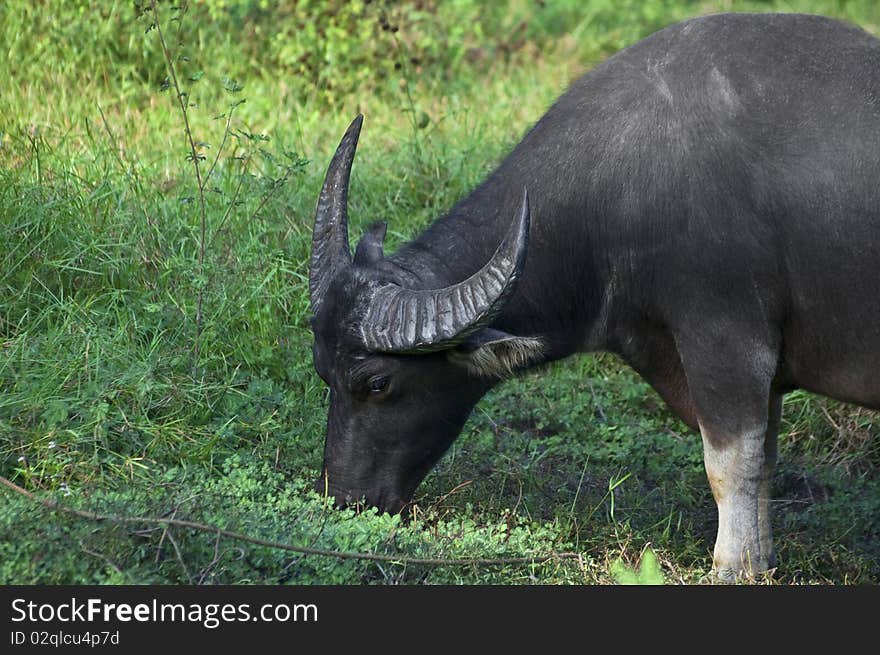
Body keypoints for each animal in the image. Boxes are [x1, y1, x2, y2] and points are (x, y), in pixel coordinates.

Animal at [306, 12, 876, 580]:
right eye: (322, 372)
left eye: (376, 383)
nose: (344, 499)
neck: (619, 190)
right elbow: (763, 461)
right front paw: (760, 560)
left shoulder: (727, 341)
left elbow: (730, 464)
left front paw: (731, 566)